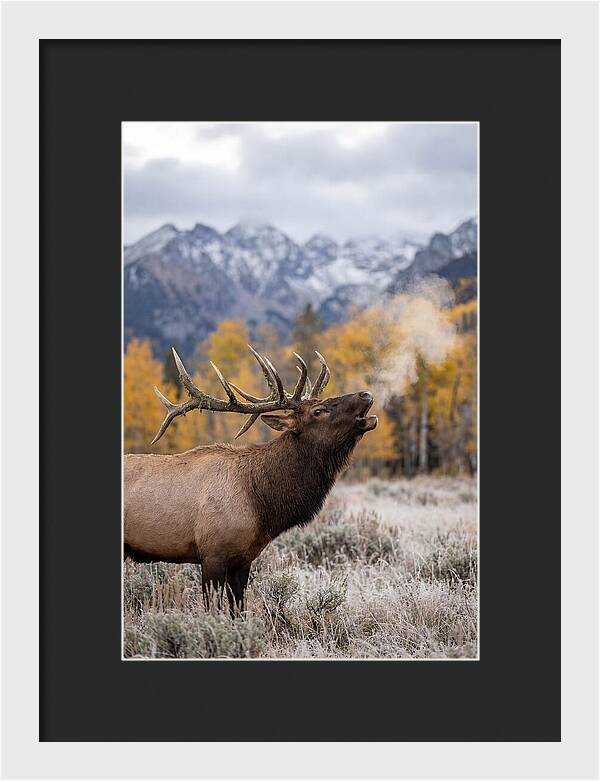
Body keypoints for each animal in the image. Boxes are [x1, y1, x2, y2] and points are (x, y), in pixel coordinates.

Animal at [124, 344, 378, 614]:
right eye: (318, 411)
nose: (365, 394)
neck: (261, 504)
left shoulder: (243, 560)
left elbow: (239, 610)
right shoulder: (212, 554)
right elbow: (213, 611)